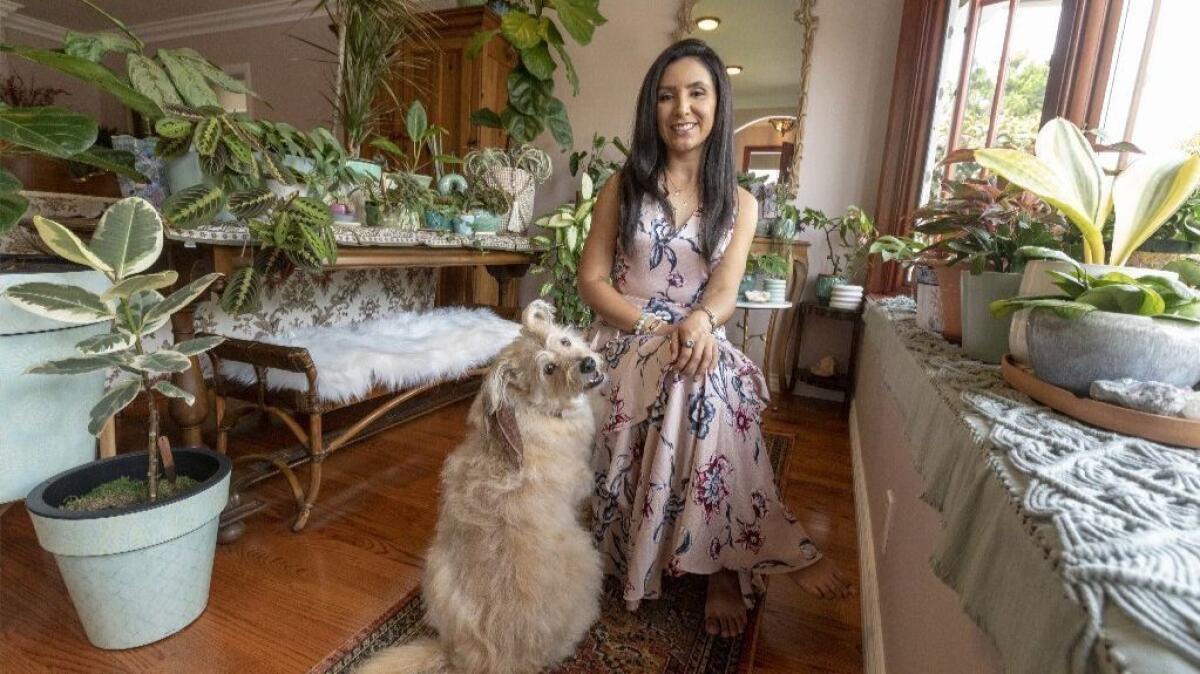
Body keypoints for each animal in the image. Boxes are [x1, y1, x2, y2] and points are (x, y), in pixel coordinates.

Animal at [352, 299, 600, 671]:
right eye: (549, 369)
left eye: (565, 341)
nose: (589, 363)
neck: (532, 411)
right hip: (588, 560)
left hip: (435, 567)